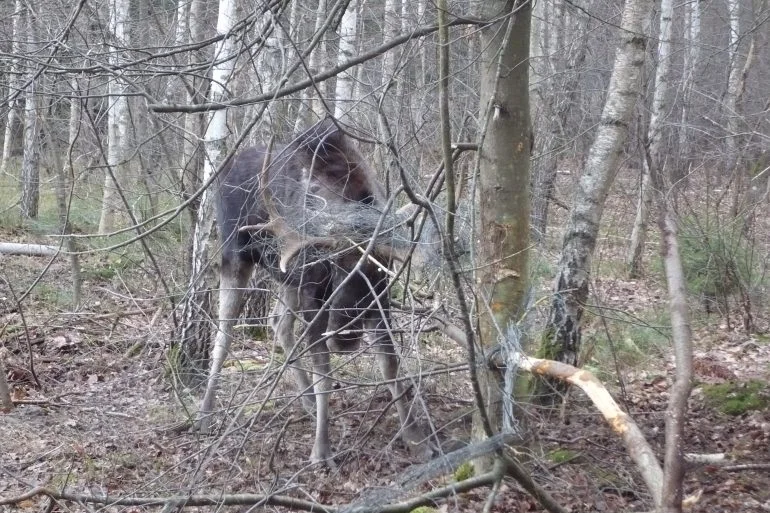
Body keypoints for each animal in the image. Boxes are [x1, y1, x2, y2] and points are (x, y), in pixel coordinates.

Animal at [204, 118, 428, 462]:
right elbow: (325, 374)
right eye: (334, 267)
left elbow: (390, 364)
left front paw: (414, 436)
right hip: (235, 255)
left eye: (380, 270)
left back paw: (307, 399)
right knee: (224, 333)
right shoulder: (314, 298)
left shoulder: (379, 304)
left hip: (286, 277)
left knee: (278, 322)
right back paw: (205, 411)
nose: (345, 338)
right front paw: (321, 450)